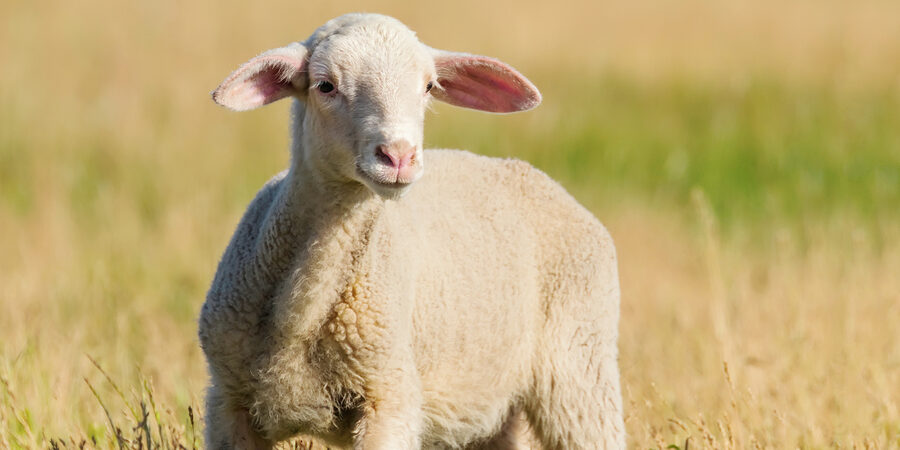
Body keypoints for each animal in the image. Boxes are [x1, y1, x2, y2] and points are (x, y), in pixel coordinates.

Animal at [198, 13, 624, 450]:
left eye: (429, 87)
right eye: (325, 85)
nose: (399, 156)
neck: (300, 317)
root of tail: (527, 172)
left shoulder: (390, 394)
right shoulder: (227, 402)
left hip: (580, 364)